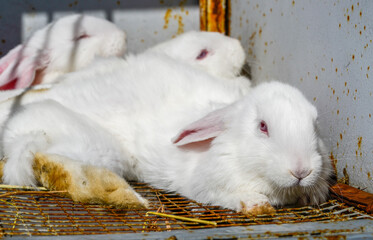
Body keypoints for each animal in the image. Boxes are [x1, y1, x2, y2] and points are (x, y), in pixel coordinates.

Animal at [0, 49, 330, 213]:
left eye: (314, 124)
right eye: (263, 127)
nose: (301, 170)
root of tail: (17, 130)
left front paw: (308, 196)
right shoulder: (204, 187)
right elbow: (227, 196)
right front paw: (256, 205)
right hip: (97, 149)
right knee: (52, 163)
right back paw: (122, 195)